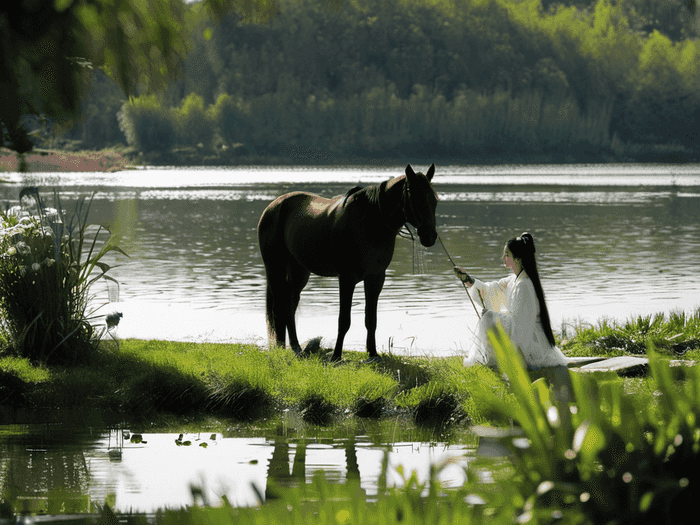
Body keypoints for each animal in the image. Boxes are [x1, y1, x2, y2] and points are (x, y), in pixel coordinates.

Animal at [256, 164, 438, 360]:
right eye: (416, 198)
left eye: (435, 200)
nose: (430, 236)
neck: (370, 223)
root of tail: (274, 206)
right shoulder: (346, 279)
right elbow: (344, 320)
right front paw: (336, 356)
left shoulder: (375, 278)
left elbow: (370, 319)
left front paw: (373, 354)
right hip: (275, 267)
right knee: (279, 308)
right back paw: (280, 348)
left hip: (299, 272)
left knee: (289, 306)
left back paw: (296, 347)